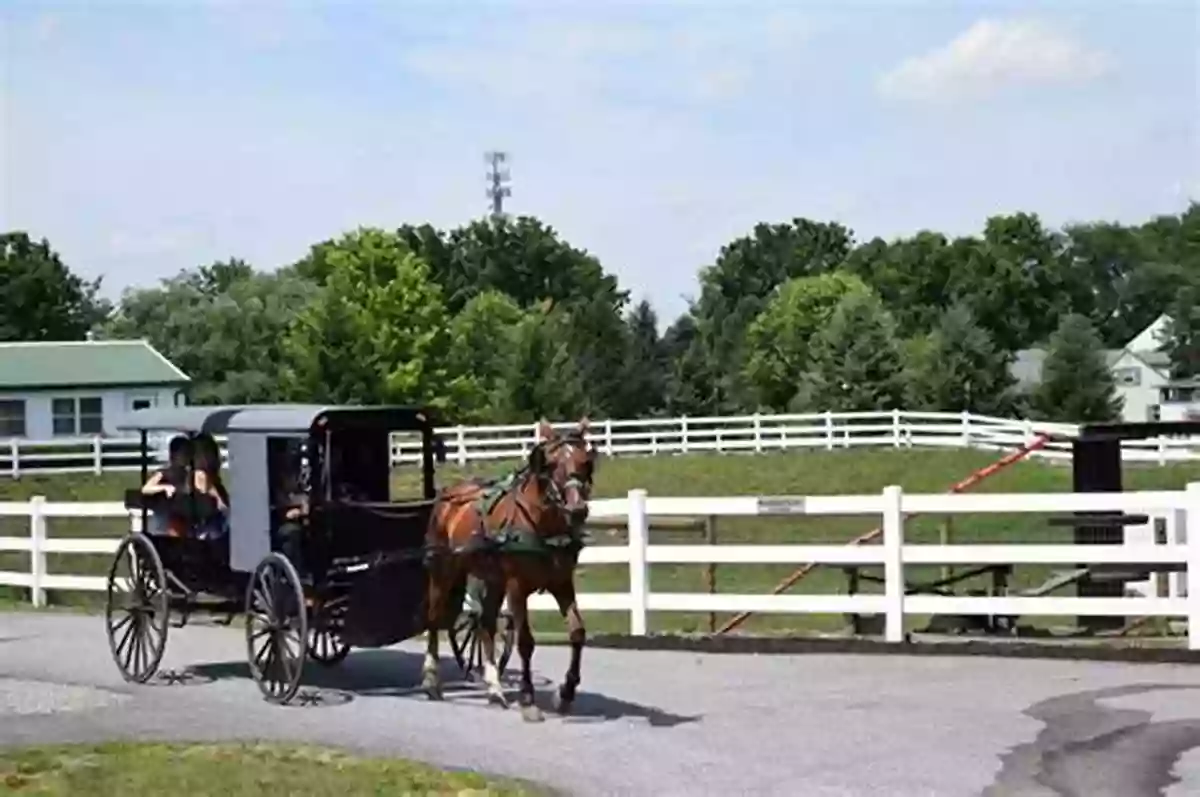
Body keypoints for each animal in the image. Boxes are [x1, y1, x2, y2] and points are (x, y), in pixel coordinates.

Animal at [422, 417, 600, 720]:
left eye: (585, 460)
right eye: (550, 463)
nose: (577, 509)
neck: (542, 524)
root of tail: (448, 496)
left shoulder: (562, 582)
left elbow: (577, 632)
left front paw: (566, 692)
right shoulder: (517, 586)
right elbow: (526, 641)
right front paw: (528, 699)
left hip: (493, 579)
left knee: (485, 623)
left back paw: (494, 688)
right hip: (444, 570)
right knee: (434, 618)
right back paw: (432, 679)